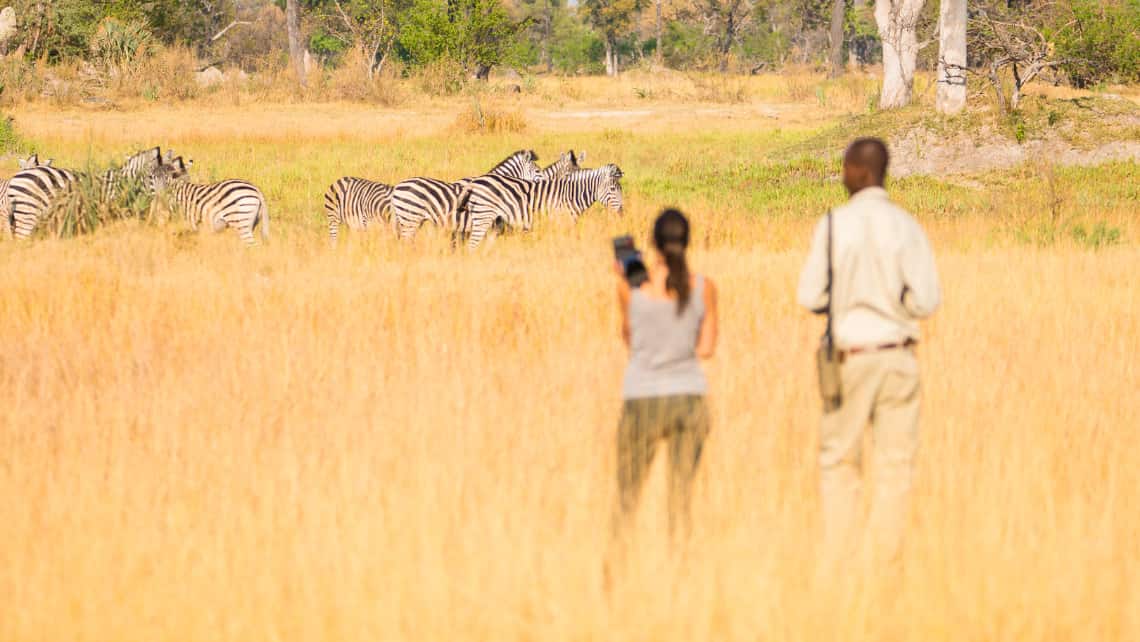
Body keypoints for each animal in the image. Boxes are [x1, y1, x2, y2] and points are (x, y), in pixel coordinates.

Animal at [460, 163, 624, 248]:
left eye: (620, 189)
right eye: (612, 189)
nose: (622, 213)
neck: (571, 195)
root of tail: (475, 182)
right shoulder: (561, 222)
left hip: (495, 222)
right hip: (483, 217)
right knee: (472, 245)